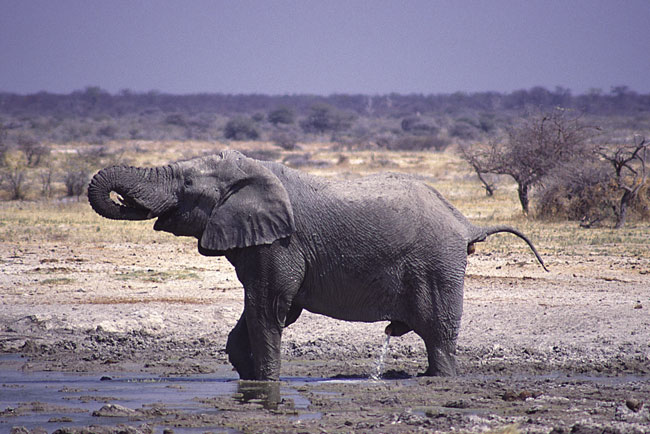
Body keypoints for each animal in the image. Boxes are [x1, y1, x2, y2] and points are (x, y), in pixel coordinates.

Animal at [88, 150, 547, 380]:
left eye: (185, 185)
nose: (125, 198)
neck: (255, 171)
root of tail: (466, 223)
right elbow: (266, 310)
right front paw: (248, 379)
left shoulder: (281, 243)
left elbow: (270, 307)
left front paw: (267, 383)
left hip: (437, 264)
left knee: (439, 332)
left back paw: (441, 379)